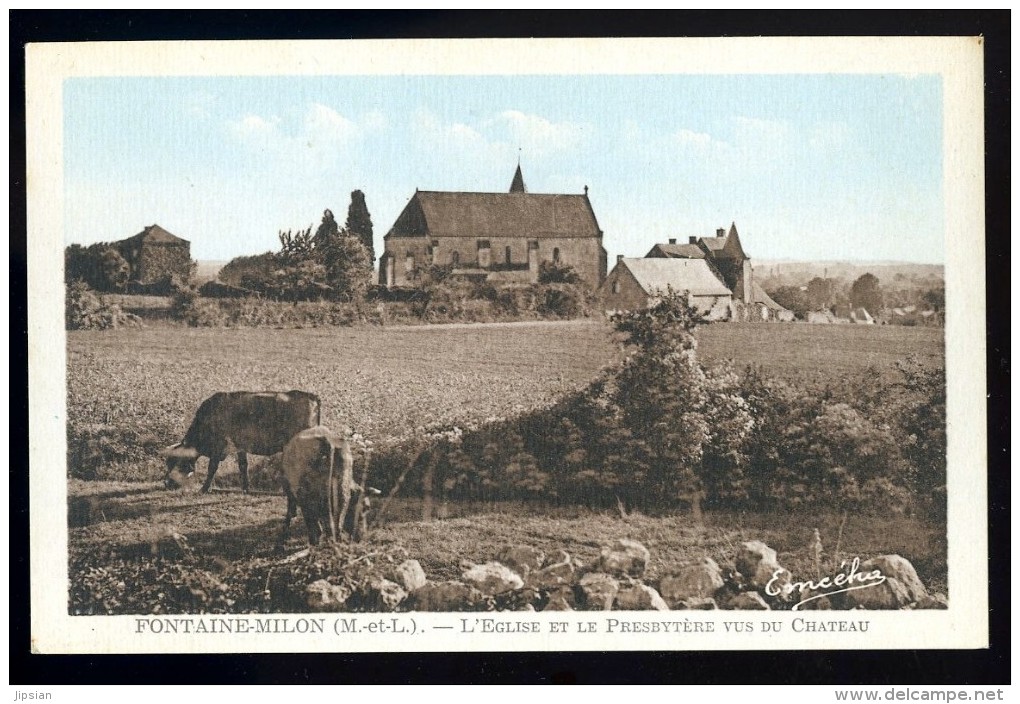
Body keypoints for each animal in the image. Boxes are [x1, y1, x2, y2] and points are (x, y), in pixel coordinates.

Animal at [163, 389, 318, 493]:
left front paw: (204, 488)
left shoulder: (218, 448)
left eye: (174, 462)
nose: (166, 483)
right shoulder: (240, 447)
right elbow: (243, 467)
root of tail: (310, 395)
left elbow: (212, 468)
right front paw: (246, 489)